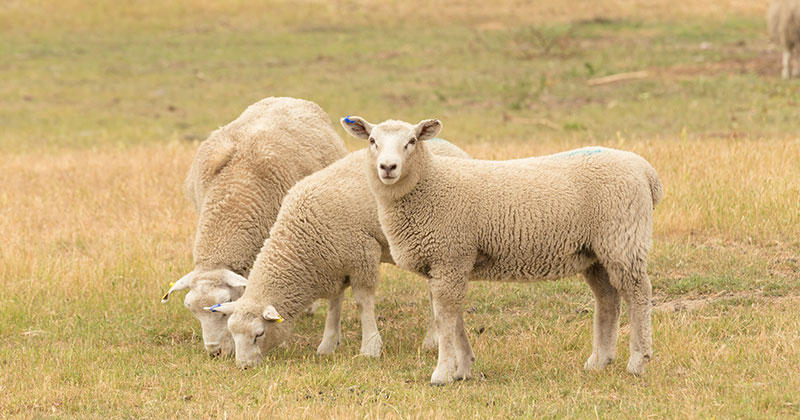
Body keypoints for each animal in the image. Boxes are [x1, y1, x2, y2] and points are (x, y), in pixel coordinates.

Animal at [209, 139, 472, 368]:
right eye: (232, 332)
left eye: (259, 334)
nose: (243, 366)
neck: (301, 238)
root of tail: (456, 149)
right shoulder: (333, 261)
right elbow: (335, 303)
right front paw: (328, 344)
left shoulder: (363, 253)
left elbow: (363, 302)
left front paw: (370, 347)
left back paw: (431, 339)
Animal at [342, 116, 664, 386]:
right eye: (372, 141)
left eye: (411, 141)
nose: (388, 167)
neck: (430, 184)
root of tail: (646, 171)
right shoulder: (447, 263)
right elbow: (452, 317)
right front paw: (463, 369)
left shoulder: (450, 256)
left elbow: (445, 318)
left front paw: (442, 373)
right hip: (595, 252)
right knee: (608, 298)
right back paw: (599, 361)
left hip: (623, 240)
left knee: (638, 294)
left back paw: (638, 361)